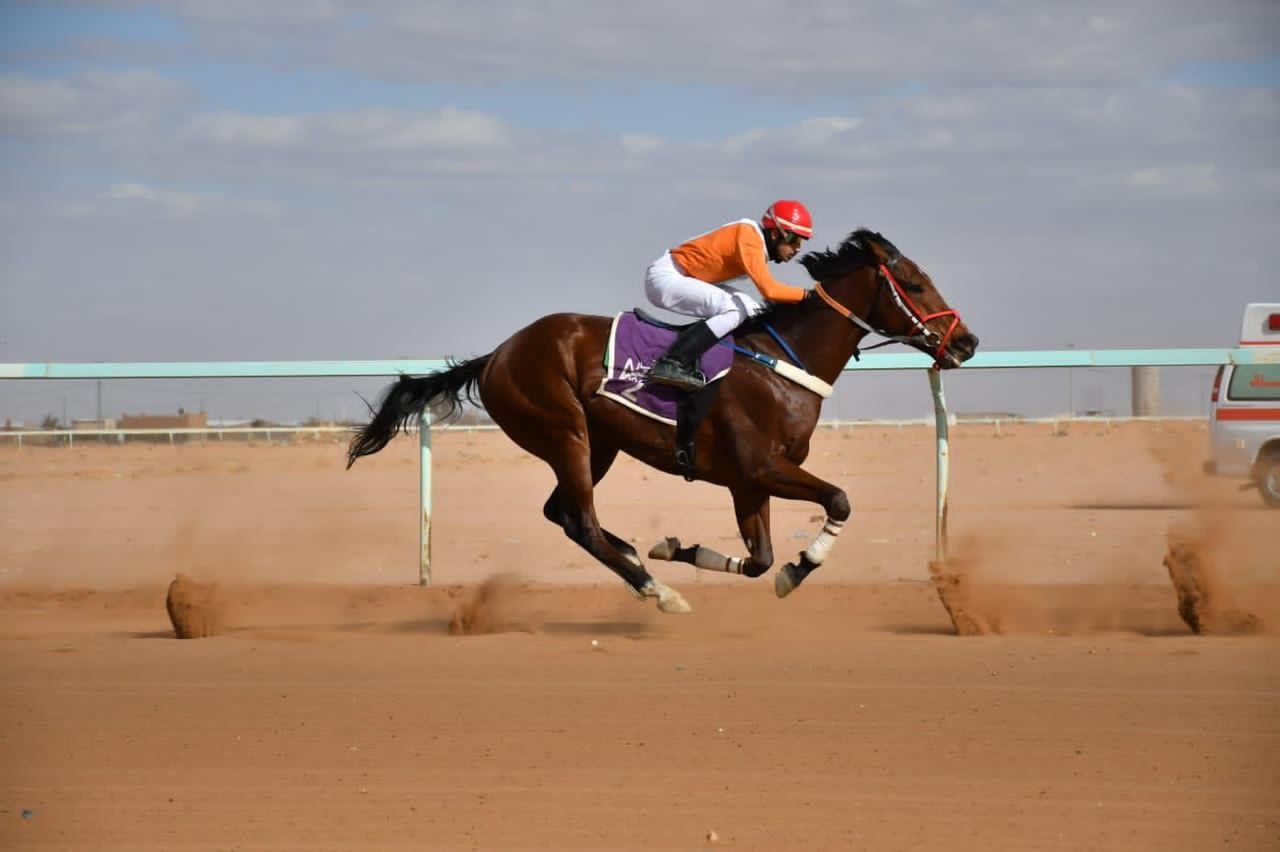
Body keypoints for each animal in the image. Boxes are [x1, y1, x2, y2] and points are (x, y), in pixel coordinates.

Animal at [348, 229, 979, 613]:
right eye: (915, 285)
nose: (966, 342)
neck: (785, 365)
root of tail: (498, 354)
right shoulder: (762, 468)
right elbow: (839, 501)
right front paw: (801, 567)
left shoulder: (747, 481)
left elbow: (759, 561)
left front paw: (677, 548)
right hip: (564, 431)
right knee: (580, 522)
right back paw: (658, 591)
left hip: (598, 444)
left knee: (564, 514)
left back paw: (637, 558)